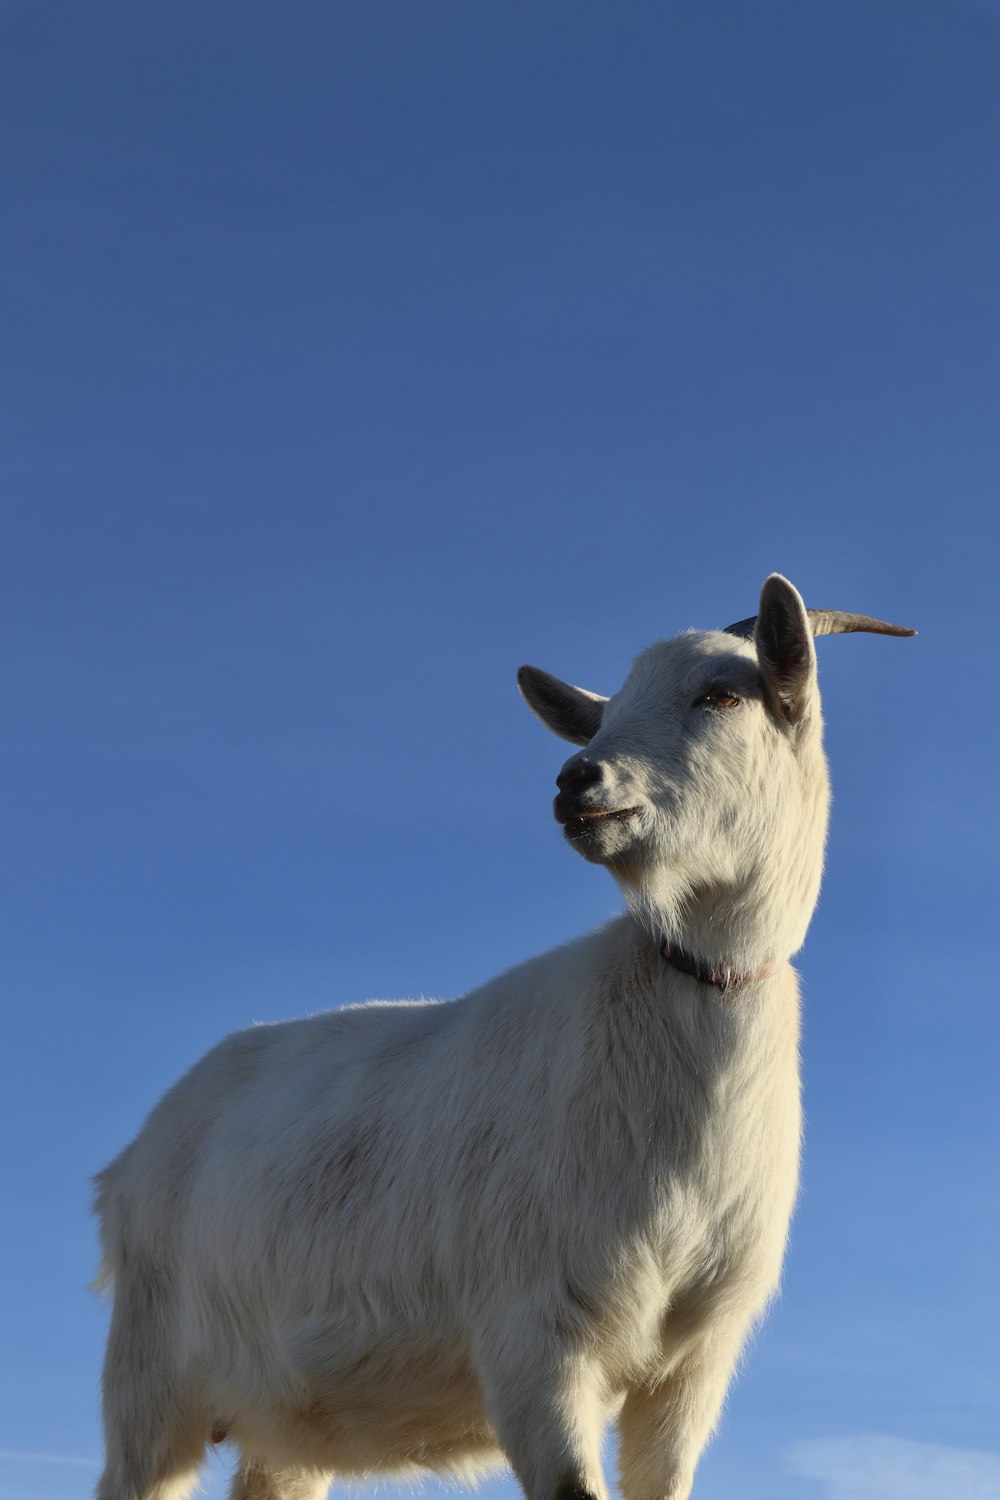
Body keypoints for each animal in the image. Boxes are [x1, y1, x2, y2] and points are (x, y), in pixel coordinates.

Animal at [91, 573, 917, 1500]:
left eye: (721, 693)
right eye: (602, 713)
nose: (577, 780)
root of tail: (130, 1162)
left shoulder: (693, 1362)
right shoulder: (534, 1338)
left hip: (285, 1424)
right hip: (149, 1378)